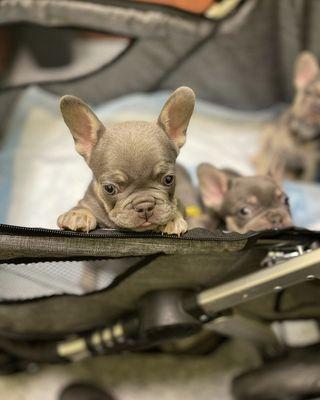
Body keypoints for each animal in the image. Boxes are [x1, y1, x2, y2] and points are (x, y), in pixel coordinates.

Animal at [57, 85, 195, 234]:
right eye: (109, 188)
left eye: (168, 179)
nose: (144, 205)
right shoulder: (87, 201)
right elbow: (82, 207)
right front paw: (78, 215)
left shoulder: (180, 204)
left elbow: (175, 208)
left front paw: (172, 219)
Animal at [252, 52, 320, 181]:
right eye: (308, 93)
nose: (315, 108)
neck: (304, 133)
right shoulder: (276, 151)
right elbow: (266, 163)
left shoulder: (311, 164)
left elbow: (306, 178)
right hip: (268, 132)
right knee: (263, 150)